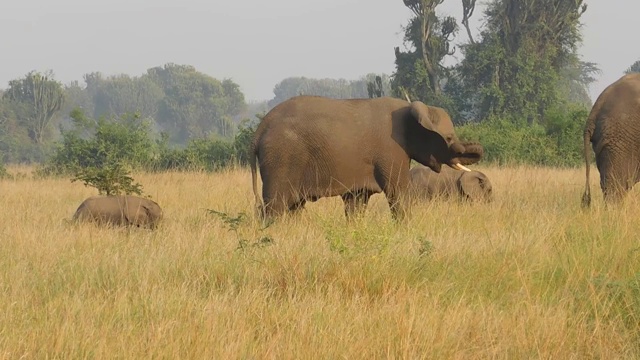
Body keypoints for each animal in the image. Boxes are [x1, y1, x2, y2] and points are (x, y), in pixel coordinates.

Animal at [248, 95, 482, 219]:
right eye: (449, 138)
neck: (410, 108)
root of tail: (259, 130)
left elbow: (356, 201)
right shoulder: (391, 150)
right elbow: (398, 193)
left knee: (293, 207)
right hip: (281, 157)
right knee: (276, 206)